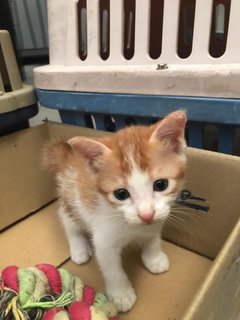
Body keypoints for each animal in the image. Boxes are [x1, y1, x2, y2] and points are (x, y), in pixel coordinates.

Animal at [43, 110, 188, 312]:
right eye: (121, 194)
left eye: (161, 184)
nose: (146, 214)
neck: (135, 227)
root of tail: (68, 158)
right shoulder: (103, 240)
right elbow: (112, 269)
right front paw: (121, 294)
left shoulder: (157, 219)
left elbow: (153, 237)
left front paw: (154, 258)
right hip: (71, 199)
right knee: (66, 219)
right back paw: (79, 248)